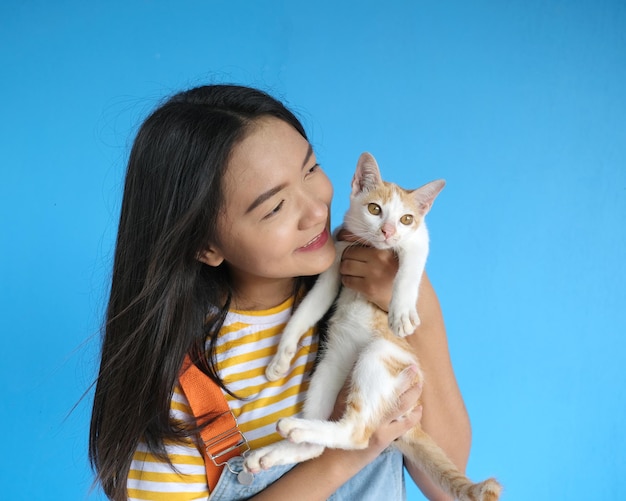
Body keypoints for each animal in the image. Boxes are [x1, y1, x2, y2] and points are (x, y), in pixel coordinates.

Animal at [241, 152, 500, 500]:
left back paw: (295, 429)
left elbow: (409, 270)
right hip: (329, 367)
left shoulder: (418, 239)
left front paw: (401, 312)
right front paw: (280, 359)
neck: (372, 247)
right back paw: (277, 449)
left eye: (406, 219)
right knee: (321, 445)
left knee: (358, 434)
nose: (388, 231)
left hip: (383, 355)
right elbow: (308, 309)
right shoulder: (335, 258)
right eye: (374, 209)